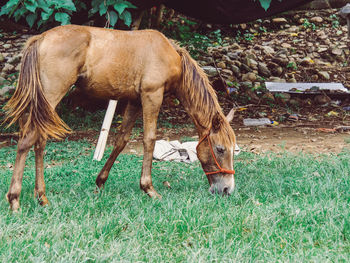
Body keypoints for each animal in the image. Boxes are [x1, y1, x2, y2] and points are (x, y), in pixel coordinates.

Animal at [4, 25, 237, 212]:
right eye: (220, 149)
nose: (227, 189)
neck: (171, 56)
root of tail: (40, 38)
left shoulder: (133, 101)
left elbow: (121, 140)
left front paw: (100, 182)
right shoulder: (152, 96)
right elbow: (149, 140)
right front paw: (149, 188)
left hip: (42, 106)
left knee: (39, 141)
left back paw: (42, 197)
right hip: (51, 97)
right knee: (27, 140)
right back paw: (15, 200)